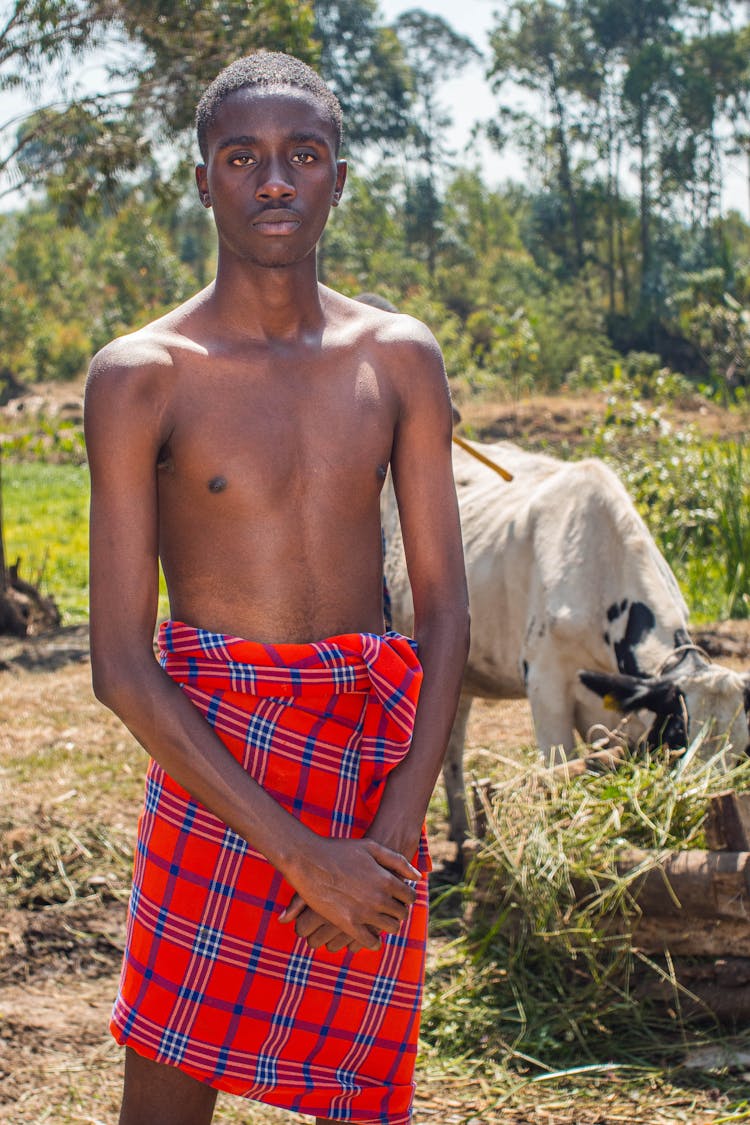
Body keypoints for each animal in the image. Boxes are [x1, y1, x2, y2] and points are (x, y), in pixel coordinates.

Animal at [384, 434, 750, 846]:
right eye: (678, 737)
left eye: (741, 753)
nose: (702, 803)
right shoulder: (546, 688)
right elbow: (559, 770)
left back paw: (463, 834)